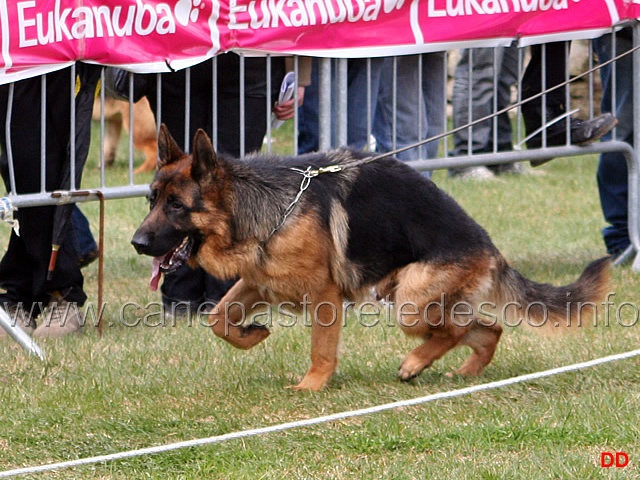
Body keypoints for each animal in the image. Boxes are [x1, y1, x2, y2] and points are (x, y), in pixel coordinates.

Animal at [131, 124, 608, 390]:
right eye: (152, 200)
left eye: (177, 206)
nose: (136, 242)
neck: (261, 208)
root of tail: (491, 247)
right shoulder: (260, 281)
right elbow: (218, 319)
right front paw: (252, 335)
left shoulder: (323, 297)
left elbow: (321, 350)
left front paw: (312, 387)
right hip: (406, 296)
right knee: (487, 328)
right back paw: (465, 372)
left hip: (411, 300)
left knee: (455, 329)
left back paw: (416, 363)